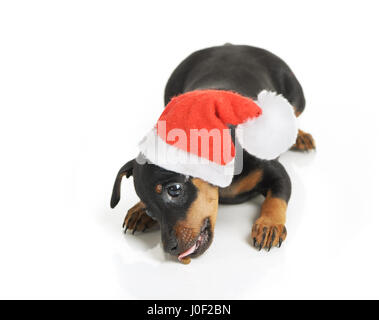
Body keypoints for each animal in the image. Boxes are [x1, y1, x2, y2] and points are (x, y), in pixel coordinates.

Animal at [110, 45, 314, 264]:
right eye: (150, 209)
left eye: (174, 190)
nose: (170, 249)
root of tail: (231, 45)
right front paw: (139, 209)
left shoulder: (277, 173)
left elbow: (276, 199)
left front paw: (269, 225)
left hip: (295, 95)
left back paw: (300, 137)